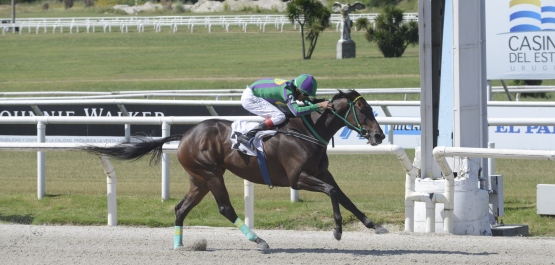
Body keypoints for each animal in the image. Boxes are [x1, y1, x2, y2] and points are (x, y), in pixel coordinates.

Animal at [86, 89, 386, 252]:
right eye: (363, 110)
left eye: (373, 108)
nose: (379, 135)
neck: (307, 131)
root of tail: (185, 135)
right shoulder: (297, 179)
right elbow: (332, 192)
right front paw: (337, 230)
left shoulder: (322, 173)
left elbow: (343, 195)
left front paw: (374, 225)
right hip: (211, 174)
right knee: (225, 208)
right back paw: (259, 240)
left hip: (199, 180)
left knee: (181, 208)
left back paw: (180, 244)